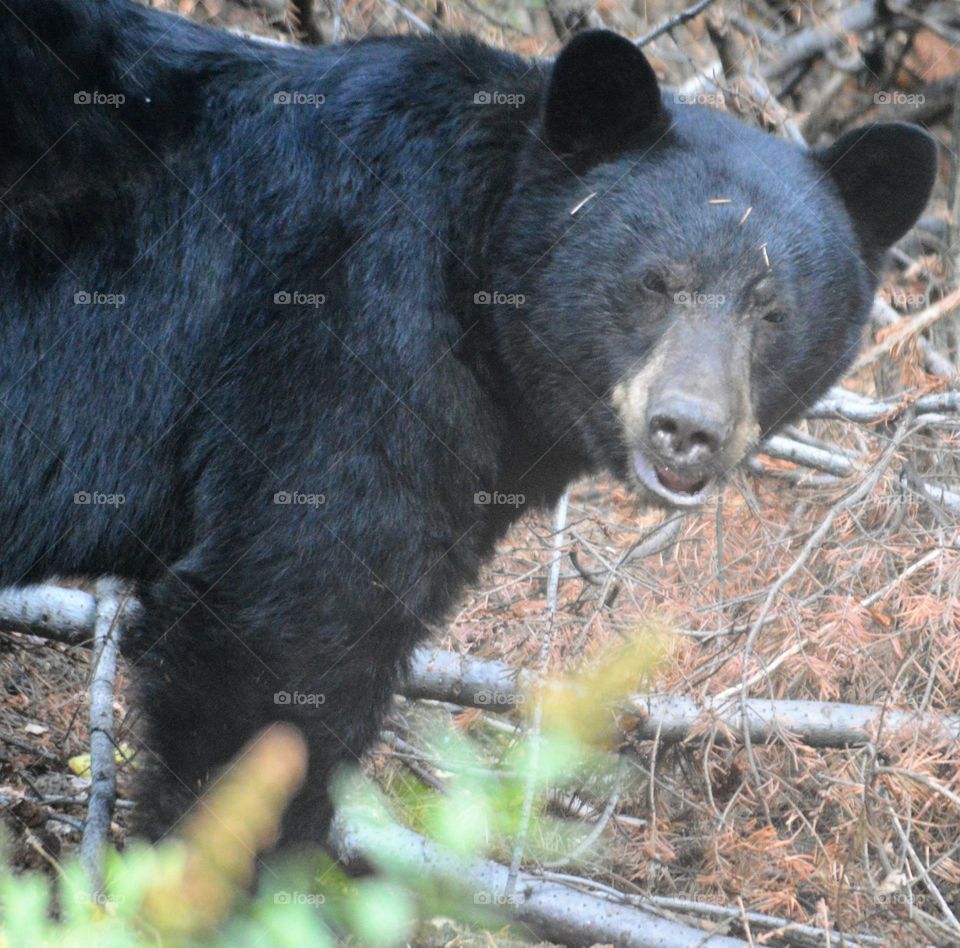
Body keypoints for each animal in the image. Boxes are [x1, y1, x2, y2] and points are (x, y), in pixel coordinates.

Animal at [0, 0, 937, 853]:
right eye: (654, 281)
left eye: (772, 311)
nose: (686, 428)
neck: (471, 260)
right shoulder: (349, 337)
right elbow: (282, 628)